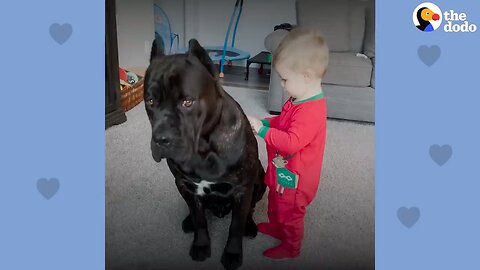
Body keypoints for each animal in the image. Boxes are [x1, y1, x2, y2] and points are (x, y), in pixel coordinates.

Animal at [144, 38, 268, 270]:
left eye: (187, 102)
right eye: (150, 101)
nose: (162, 139)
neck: (203, 147)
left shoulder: (242, 189)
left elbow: (235, 226)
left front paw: (232, 253)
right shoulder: (185, 185)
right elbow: (200, 219)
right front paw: (201, 245)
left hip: (260, 181)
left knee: (250, 210)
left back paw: (250, 226)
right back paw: (188, 221)